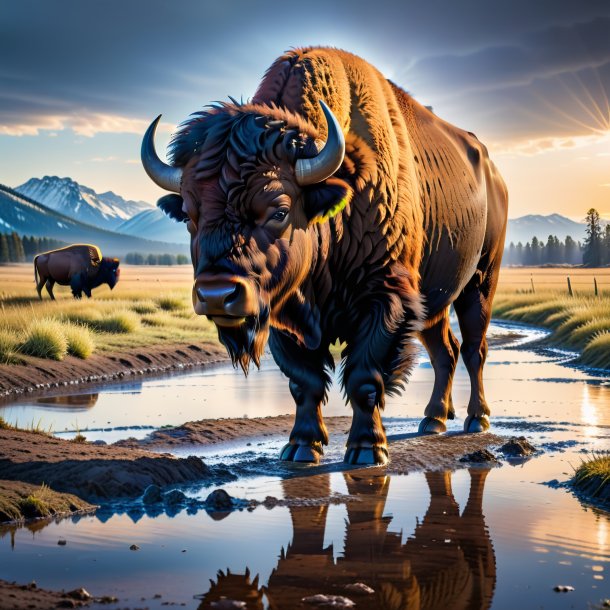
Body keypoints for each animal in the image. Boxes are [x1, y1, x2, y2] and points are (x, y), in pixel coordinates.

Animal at [140, 47, 506, 464]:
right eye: (189, 214)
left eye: (280, 210)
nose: (217, 295)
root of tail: (492, 172)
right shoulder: (283, 313)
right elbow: (305, 382)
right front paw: (301, 446)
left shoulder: (386, 300)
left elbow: (365, 378)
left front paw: (367, 449)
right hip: (435, 299)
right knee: (446, 350)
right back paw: (433, 420)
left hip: (481, 281)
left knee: (475, 349)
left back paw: (476, 419)